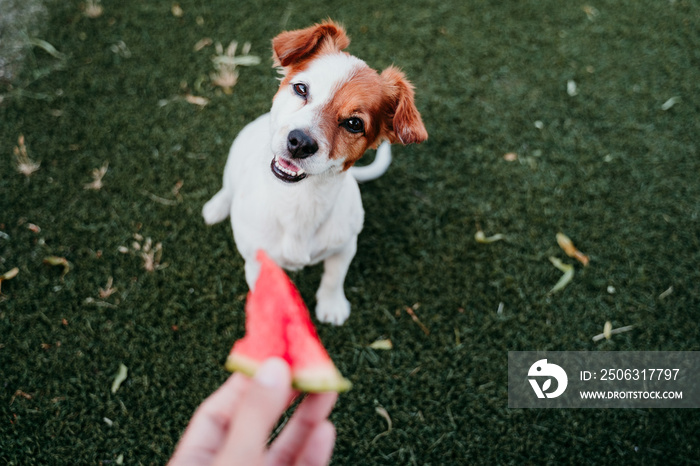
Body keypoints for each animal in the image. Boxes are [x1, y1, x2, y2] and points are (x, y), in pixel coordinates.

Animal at [200, 20, 424, 324]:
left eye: (354, 123)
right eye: (301, 89)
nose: (300, 142)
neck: (300, 200)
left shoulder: (346, 247)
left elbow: (333, 277)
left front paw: (332, 305)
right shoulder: (258, 262)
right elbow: (268, 296)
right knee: (227, 187)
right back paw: (217, 207)